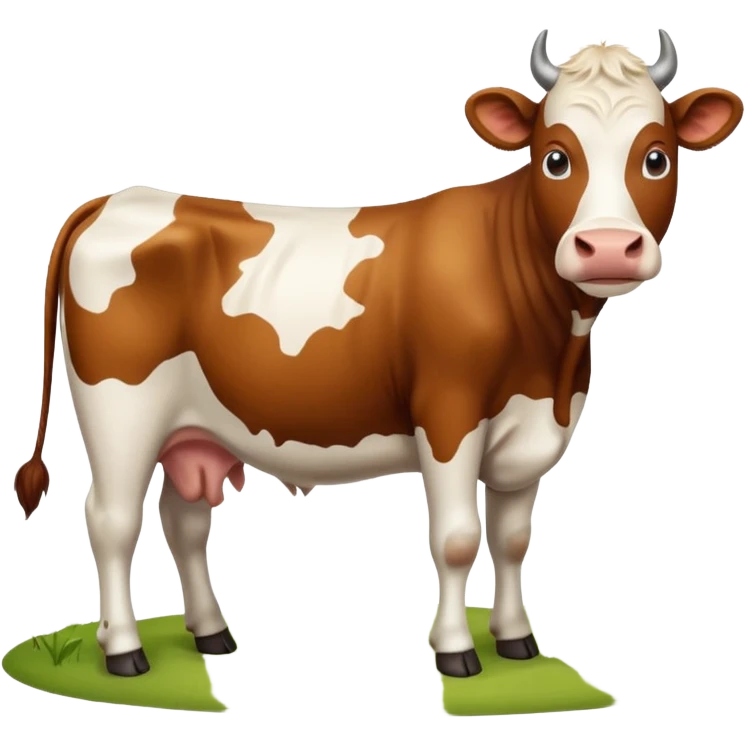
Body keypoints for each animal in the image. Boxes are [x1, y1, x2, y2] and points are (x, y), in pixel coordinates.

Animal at [13, 28, 743, 679]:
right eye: (555, 157)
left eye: (657, 156)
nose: (610, 247)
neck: (551, 361)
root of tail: (119, 198)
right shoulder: (448, 415)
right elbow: (456, 538)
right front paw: (456, 653)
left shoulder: (529, 431)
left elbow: (511, 540)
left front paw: (516, 641)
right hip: (120, 412)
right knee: (111, 522)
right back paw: (123, 652)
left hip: (193, 429)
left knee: (183, 520)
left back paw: (211, 633)